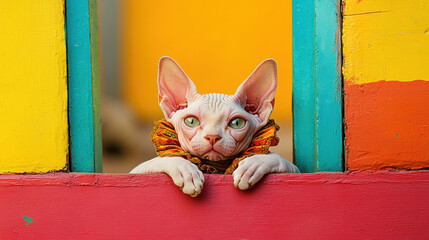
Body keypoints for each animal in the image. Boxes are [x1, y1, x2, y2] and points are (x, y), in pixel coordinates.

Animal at [130, 57, 298, 196]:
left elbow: (278, 159)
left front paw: (254, 164)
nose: (212, 137)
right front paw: (185, 171)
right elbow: (163, 159)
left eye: (237, 123)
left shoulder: (296, 171)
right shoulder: (136, 172)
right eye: (191, 121)